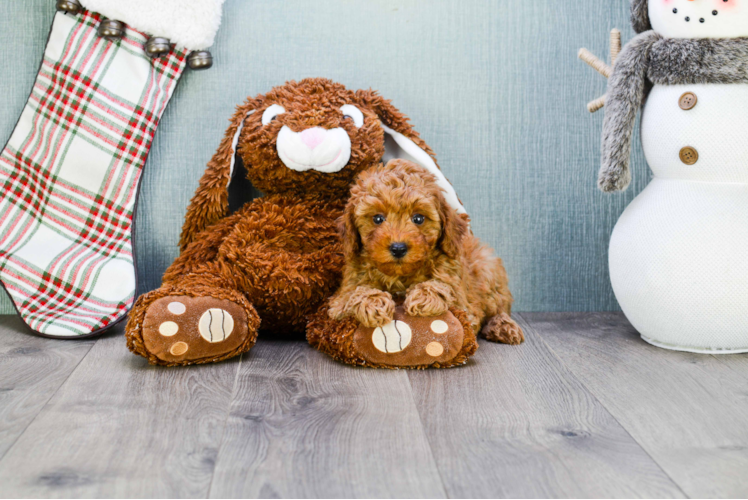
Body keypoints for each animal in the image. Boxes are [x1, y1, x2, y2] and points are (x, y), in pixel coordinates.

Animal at [328, 160, 524, 344]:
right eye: (377, 219)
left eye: (418, 218)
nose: (398, 248)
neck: (400, 276)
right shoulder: (340, 298)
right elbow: (353, 294)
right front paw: (374, 303)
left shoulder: (463, 302)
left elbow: (444, 287)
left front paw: (423, 296)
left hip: (487, 269)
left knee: (499, 307)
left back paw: (503, 326)